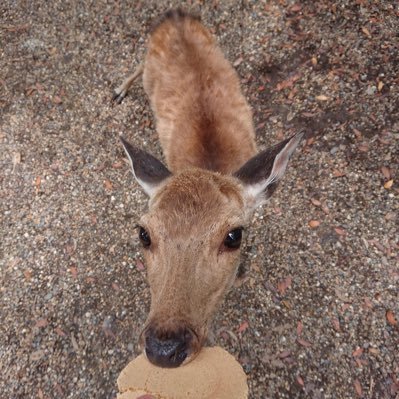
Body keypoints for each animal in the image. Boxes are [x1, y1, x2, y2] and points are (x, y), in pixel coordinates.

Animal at [112, 9, 304, 370]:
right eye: (143, 233)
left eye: (234, 236)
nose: (164, 348)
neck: (210, 163)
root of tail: (174, 15)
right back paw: (119, 89)